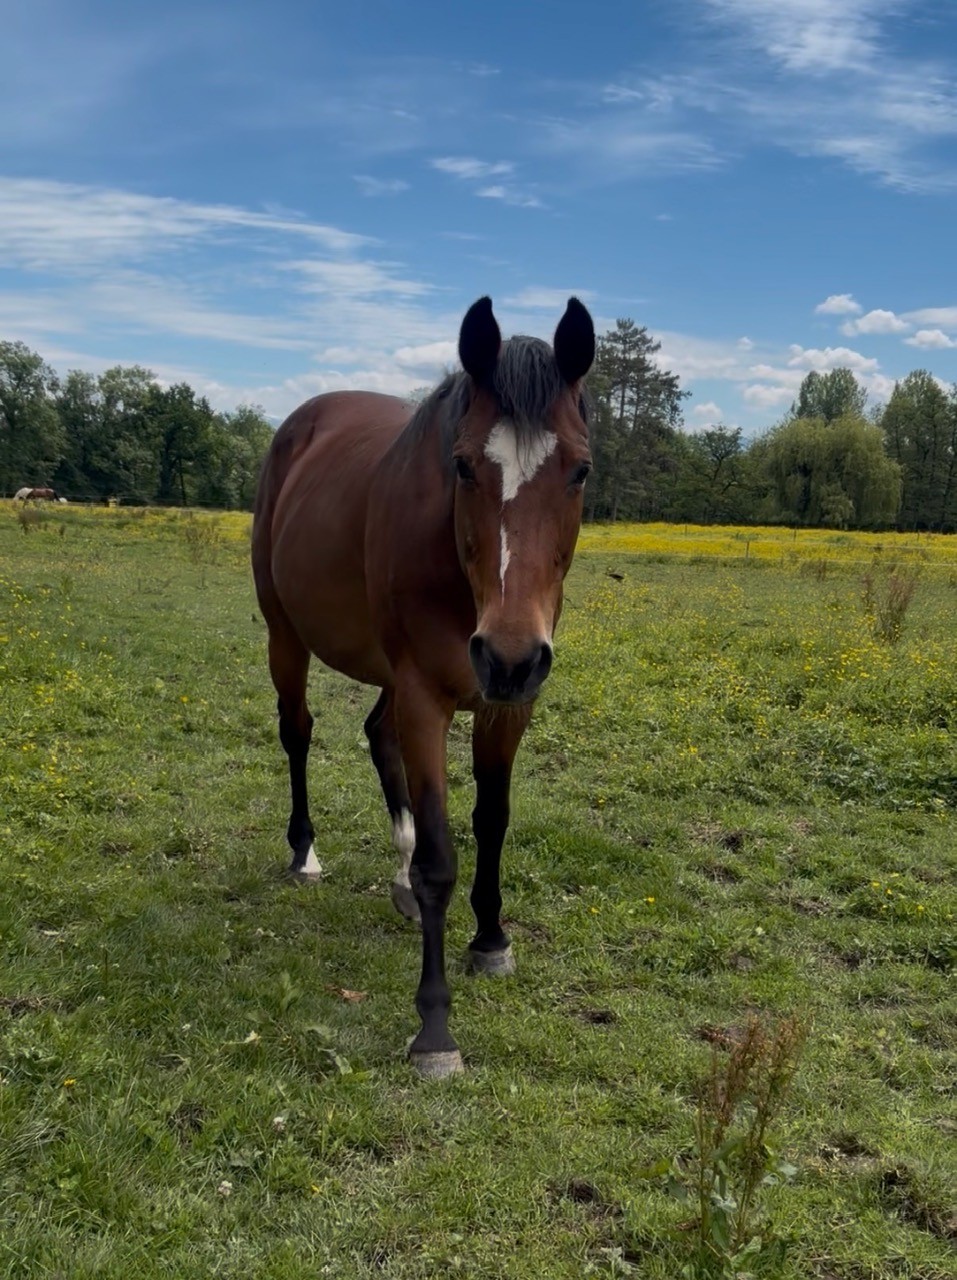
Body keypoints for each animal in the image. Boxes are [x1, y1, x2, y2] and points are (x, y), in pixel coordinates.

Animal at [252, 296, 595, 1077]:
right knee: (298, 734)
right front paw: (435, 1030)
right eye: (463, 466)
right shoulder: (426, 697)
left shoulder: (508, 707)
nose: (507, 656)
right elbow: (443, 859)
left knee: (378, 739)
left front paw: (491, 940)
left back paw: (400, 883)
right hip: (287, 637)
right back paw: (305, 854)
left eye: (581, 470)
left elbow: (492, 822)